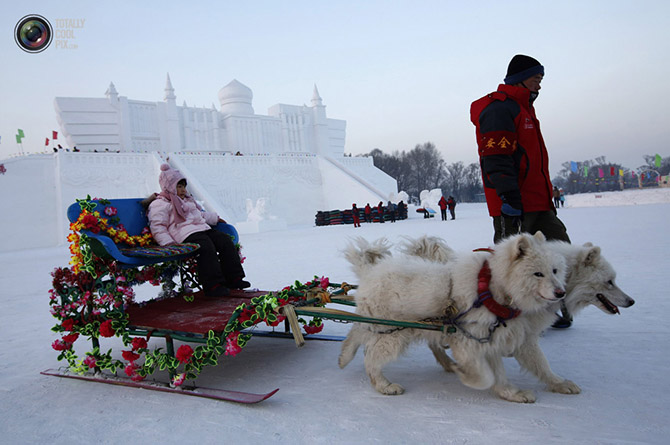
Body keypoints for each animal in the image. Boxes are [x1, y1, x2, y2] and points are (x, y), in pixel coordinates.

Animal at [342, 232, 568, 402]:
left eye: (555, 271)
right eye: (538, 274)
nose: (561, 293)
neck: (492, 290)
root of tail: (370, 271)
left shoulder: (491, 338)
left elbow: (518, 370)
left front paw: (515, 393)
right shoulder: (468, 342)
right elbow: (486, 376)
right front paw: (466, 375)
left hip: (382, 326)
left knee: (357, 332)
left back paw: (344, 356)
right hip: (392, 334)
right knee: (370, 358)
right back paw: (384, 385)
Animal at [402, 236, 636, 398]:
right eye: (610, 282)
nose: (631, 301)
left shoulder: (523, 334)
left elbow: (541, 364)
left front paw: (558, 383)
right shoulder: (496, 332)